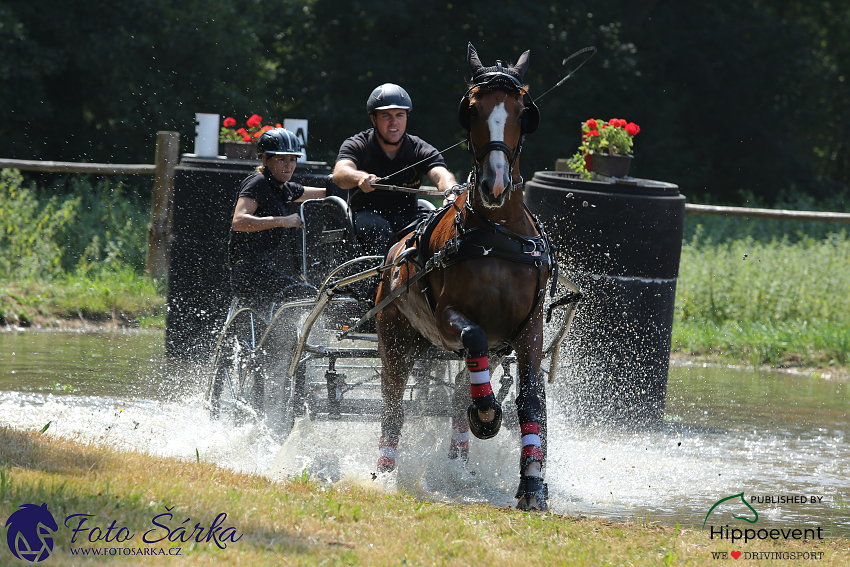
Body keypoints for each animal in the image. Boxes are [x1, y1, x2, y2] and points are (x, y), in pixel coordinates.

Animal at [374, 41, 552, 510]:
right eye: (471, 109)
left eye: (522, 110)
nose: (495, 183)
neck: (497, 235)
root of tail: (393, 253)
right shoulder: (448, 319)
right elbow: (474, 338)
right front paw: (487, 415)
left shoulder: (530, 329)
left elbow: (531, 401)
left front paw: (533, 486)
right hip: (395, 340)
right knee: (393, 406)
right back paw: (383, 472)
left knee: (457, 391)